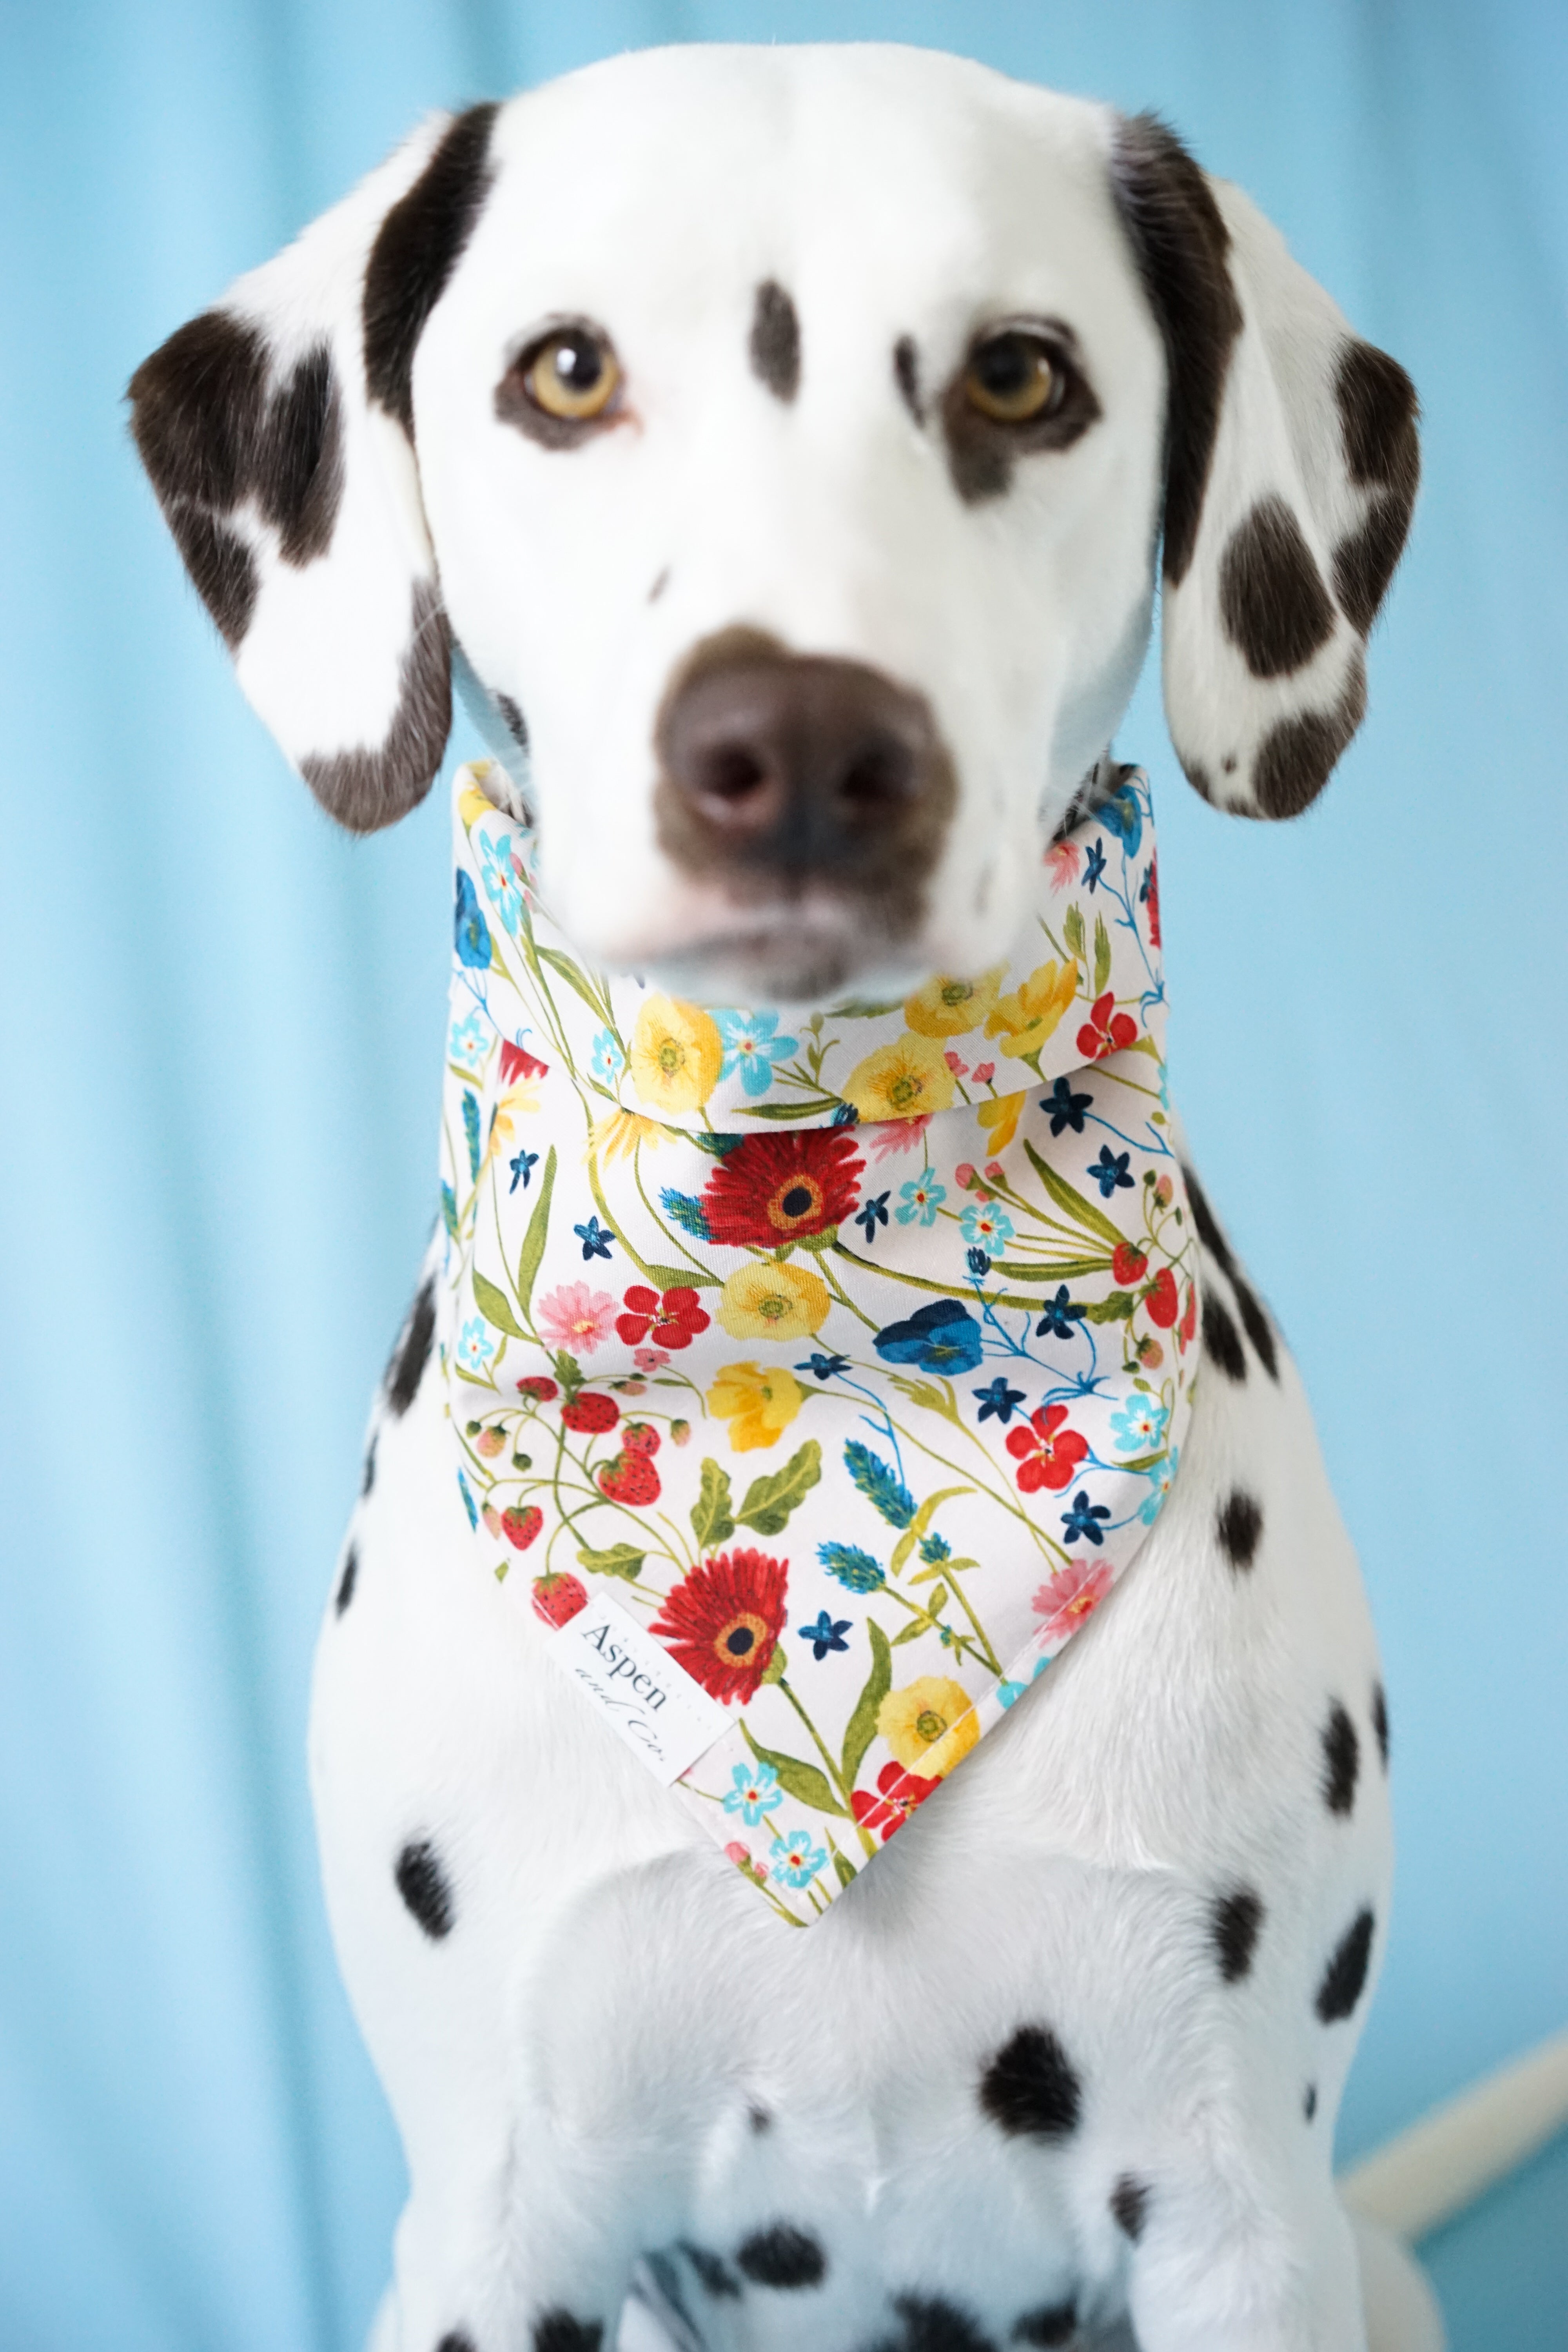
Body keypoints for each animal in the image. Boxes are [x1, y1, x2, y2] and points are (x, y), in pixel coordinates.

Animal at [131, 36, 1439, 2352]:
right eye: (567, 371)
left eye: (1017, 376)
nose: (804, 743)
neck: (811, 1295)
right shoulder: (490, 2231)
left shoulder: (1245, 2223)